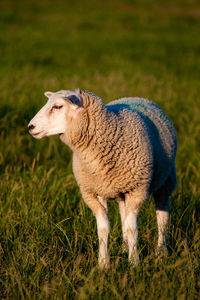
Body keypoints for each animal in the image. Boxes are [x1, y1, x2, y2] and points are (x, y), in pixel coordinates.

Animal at [28, 88, 177, 268]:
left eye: (57, 106)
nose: (30, 127)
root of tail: (138, 97)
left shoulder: (137, 190)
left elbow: (132, 228)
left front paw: (134, 263)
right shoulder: (93, 193)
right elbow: (103, 229)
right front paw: (103, 264)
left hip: (165, 180)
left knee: (162, 218)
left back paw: (161, 252)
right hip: (121, 191)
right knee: (123, 215)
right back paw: (124, 248)